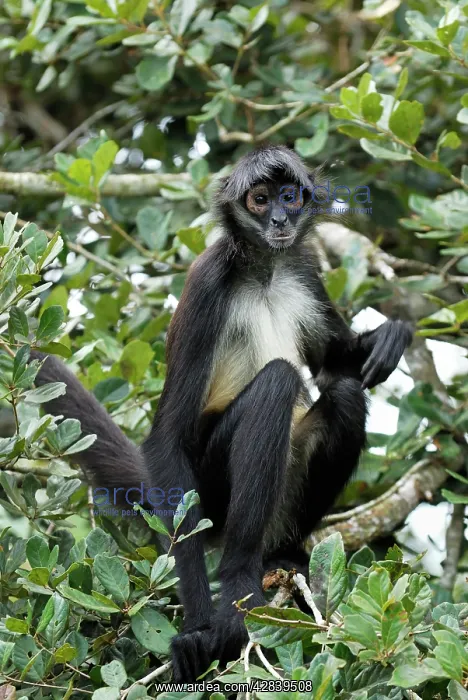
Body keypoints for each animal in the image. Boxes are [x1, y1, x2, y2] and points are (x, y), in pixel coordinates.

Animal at [28, 145, 412, 683]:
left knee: (345, 397)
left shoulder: (303, 271)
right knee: (276, 383)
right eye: (259, 199)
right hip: (208, 490)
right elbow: (168, 436)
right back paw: (237, 586)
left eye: (289, 197)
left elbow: (334, 367)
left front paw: (388, 337)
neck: (265, 271)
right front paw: (197, 626)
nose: (278, 220)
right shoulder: (209, 281)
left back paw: (282, 554)